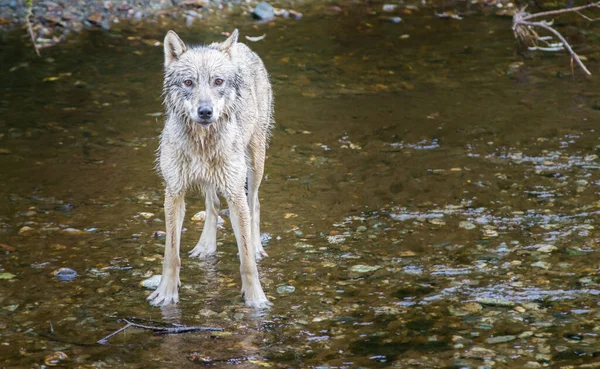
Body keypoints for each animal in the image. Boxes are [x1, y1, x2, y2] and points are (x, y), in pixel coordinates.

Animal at [148, 30, 274, 310]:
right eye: (188, 82)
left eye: (218, 81)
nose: (205, 111)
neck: (202, 143)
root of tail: (242, 45)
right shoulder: (173, 194)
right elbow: (171, 254)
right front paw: (166, 292)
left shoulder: (236, 195)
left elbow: (246, 261)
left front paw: (256, 298)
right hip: (210, 181)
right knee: (212, 205)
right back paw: (205, 246)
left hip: (255, 163)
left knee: (256, 203)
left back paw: (257, 246)